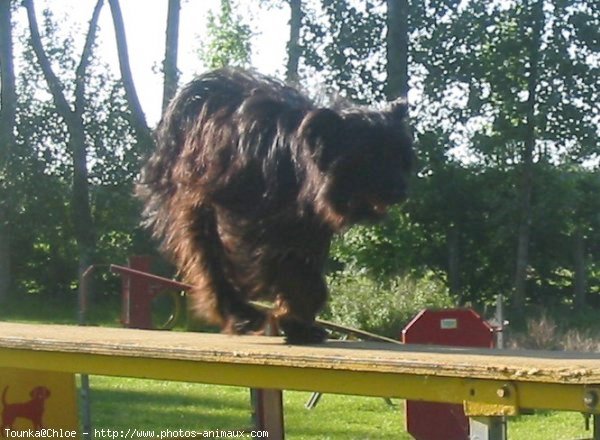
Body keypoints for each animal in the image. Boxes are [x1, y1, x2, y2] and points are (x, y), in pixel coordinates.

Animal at [138, 68, 414, 344]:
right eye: (371, 158)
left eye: (400, 157)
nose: (402, 190)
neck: (295, 163)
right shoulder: (245, 221)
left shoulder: (308, 230)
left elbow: (304, 275)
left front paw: (297, 322)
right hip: (192, 206)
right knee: (208, 262)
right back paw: (239, 313)